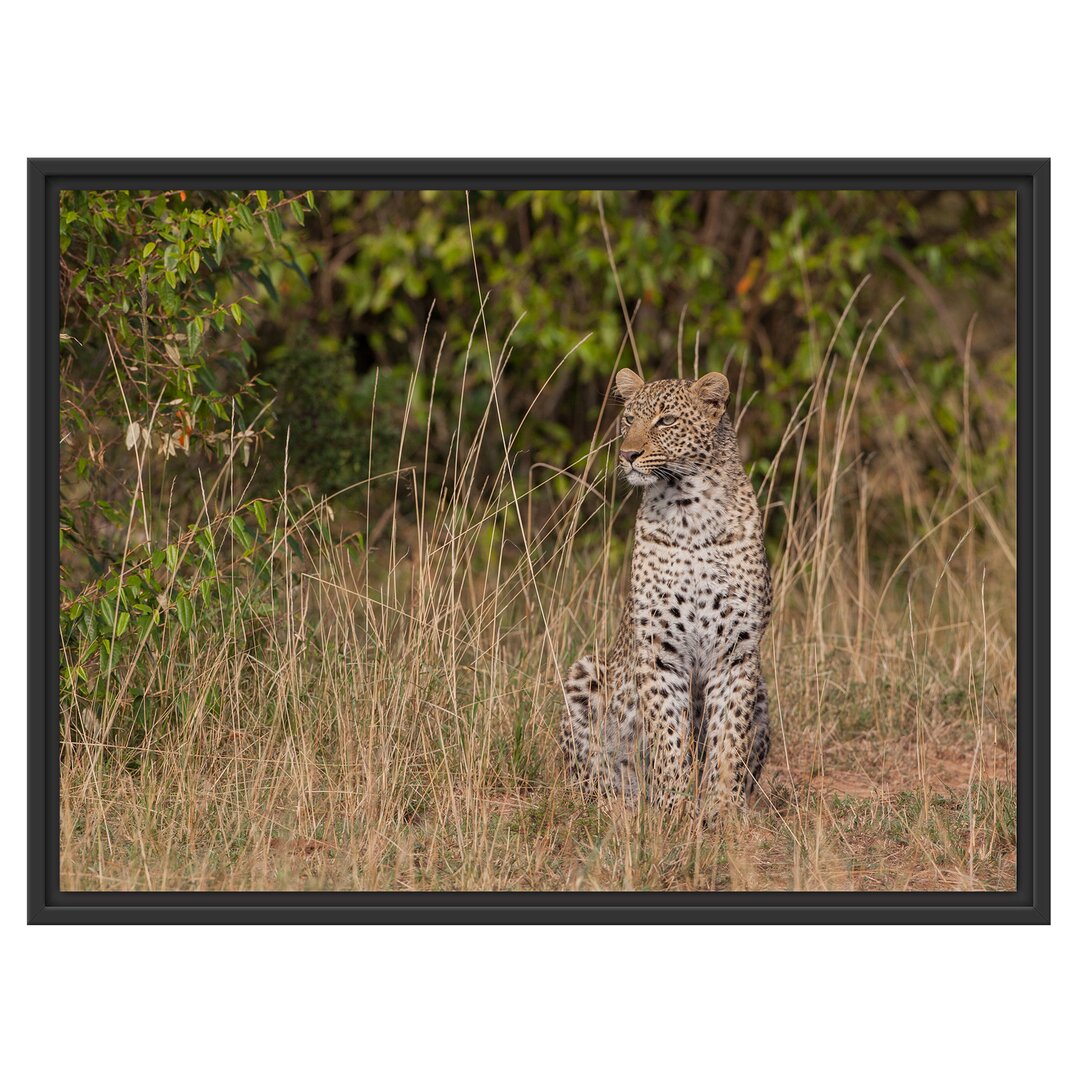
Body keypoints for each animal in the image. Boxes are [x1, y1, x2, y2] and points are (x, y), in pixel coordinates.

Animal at [561, 367, 773, 812]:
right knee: (590, 775)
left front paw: (723, 810)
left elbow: (729, 739)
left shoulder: (737, 651)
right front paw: (673, 807)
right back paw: (616, 803)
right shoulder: (659, 649)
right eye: (628, 419)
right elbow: (667, 734)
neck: (689, 511)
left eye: (667, 421)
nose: (627, 454)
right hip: (585, 672)